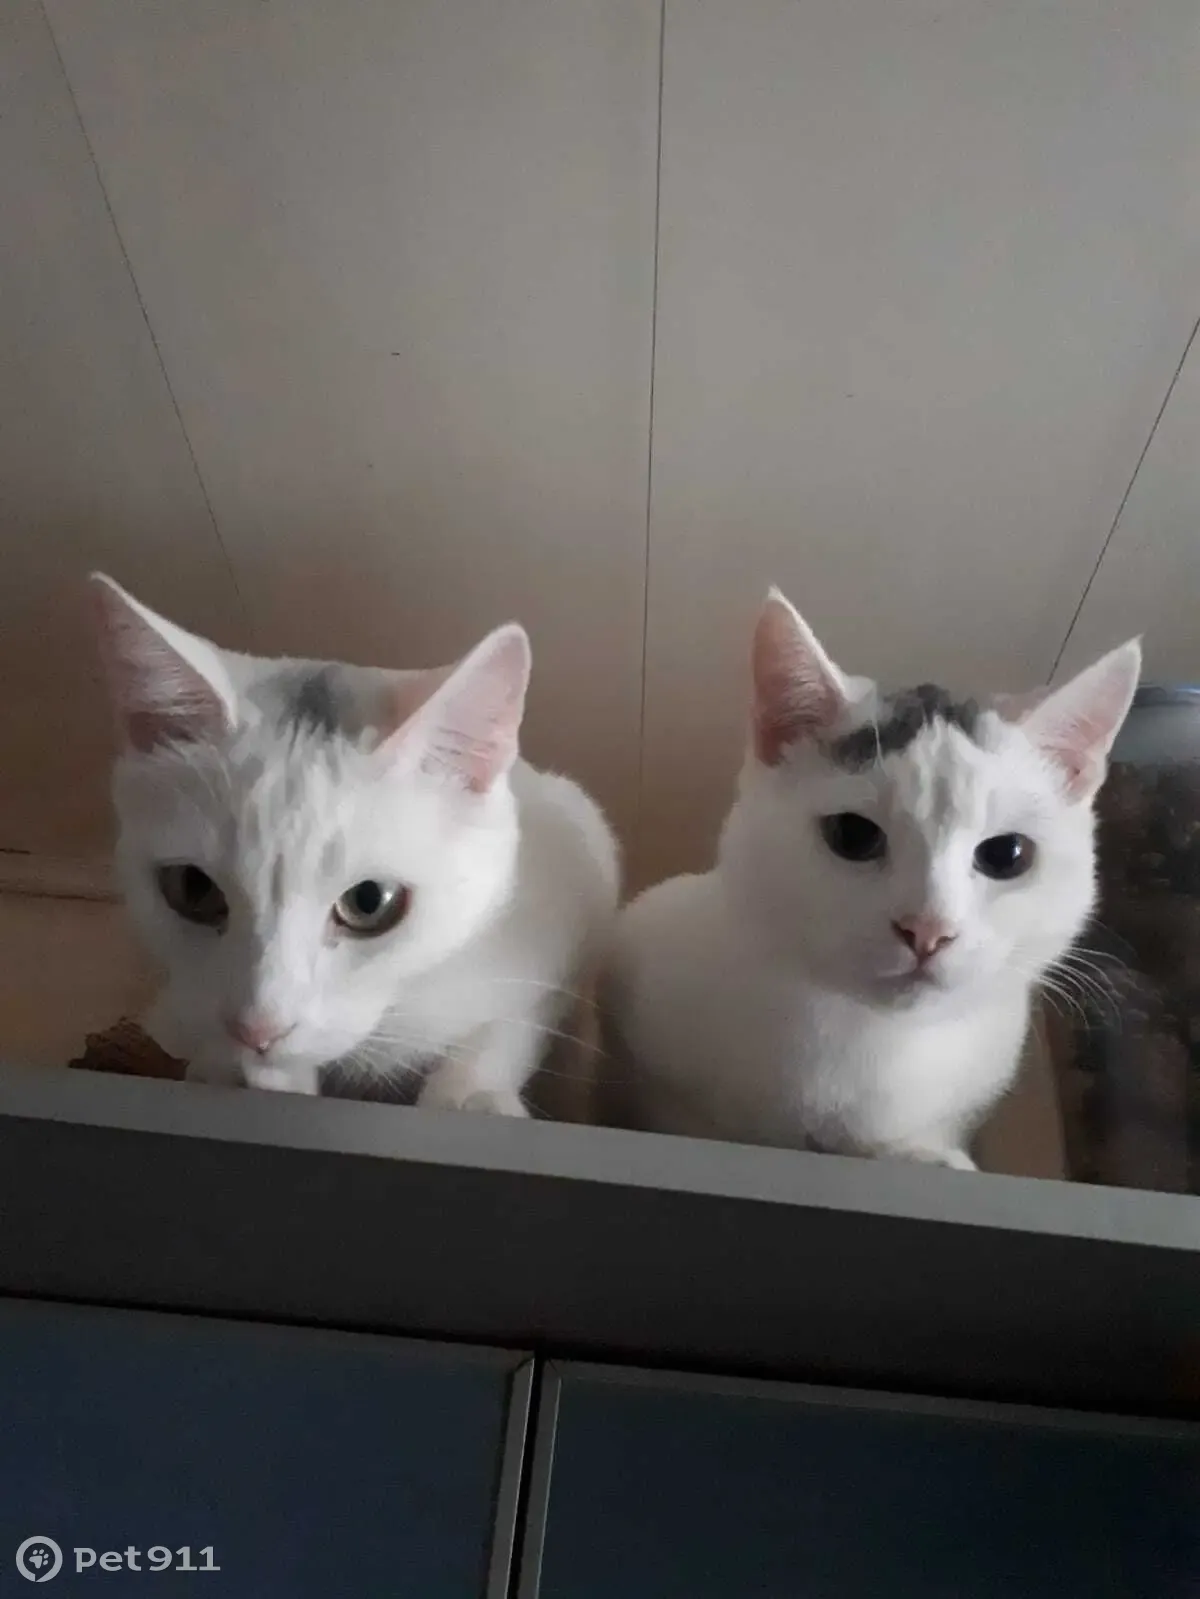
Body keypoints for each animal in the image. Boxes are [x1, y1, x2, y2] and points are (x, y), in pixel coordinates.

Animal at [90, 575, 619, 1113]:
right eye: (192, 889)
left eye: (369, 902)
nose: (258, 1030)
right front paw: (245, 1073)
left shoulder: (563, 906)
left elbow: (506, 1027)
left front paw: (469, 1096)